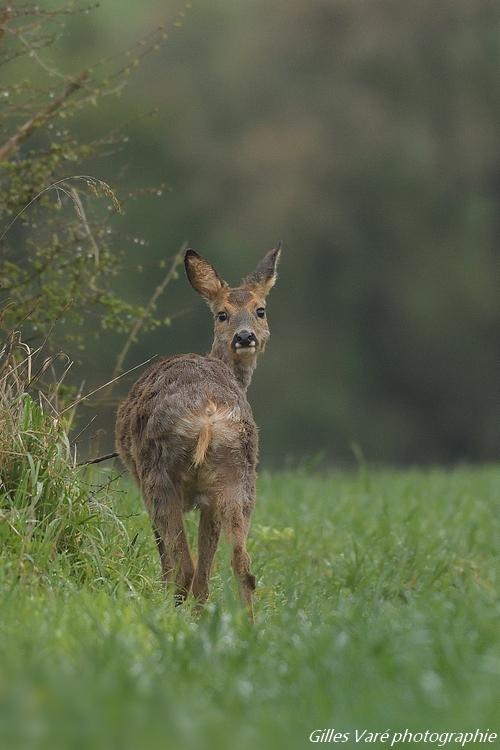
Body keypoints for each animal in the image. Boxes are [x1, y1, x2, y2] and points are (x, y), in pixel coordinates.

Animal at [115, 244, 284, 620]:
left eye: (260, 310)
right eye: (222, 314)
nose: (245, 336)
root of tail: (207, 415)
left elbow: (171, 555)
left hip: (158, 474)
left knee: (182, 564)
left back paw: (173, 610)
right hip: (239, 477)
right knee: (242, 564)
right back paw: (246, 624)